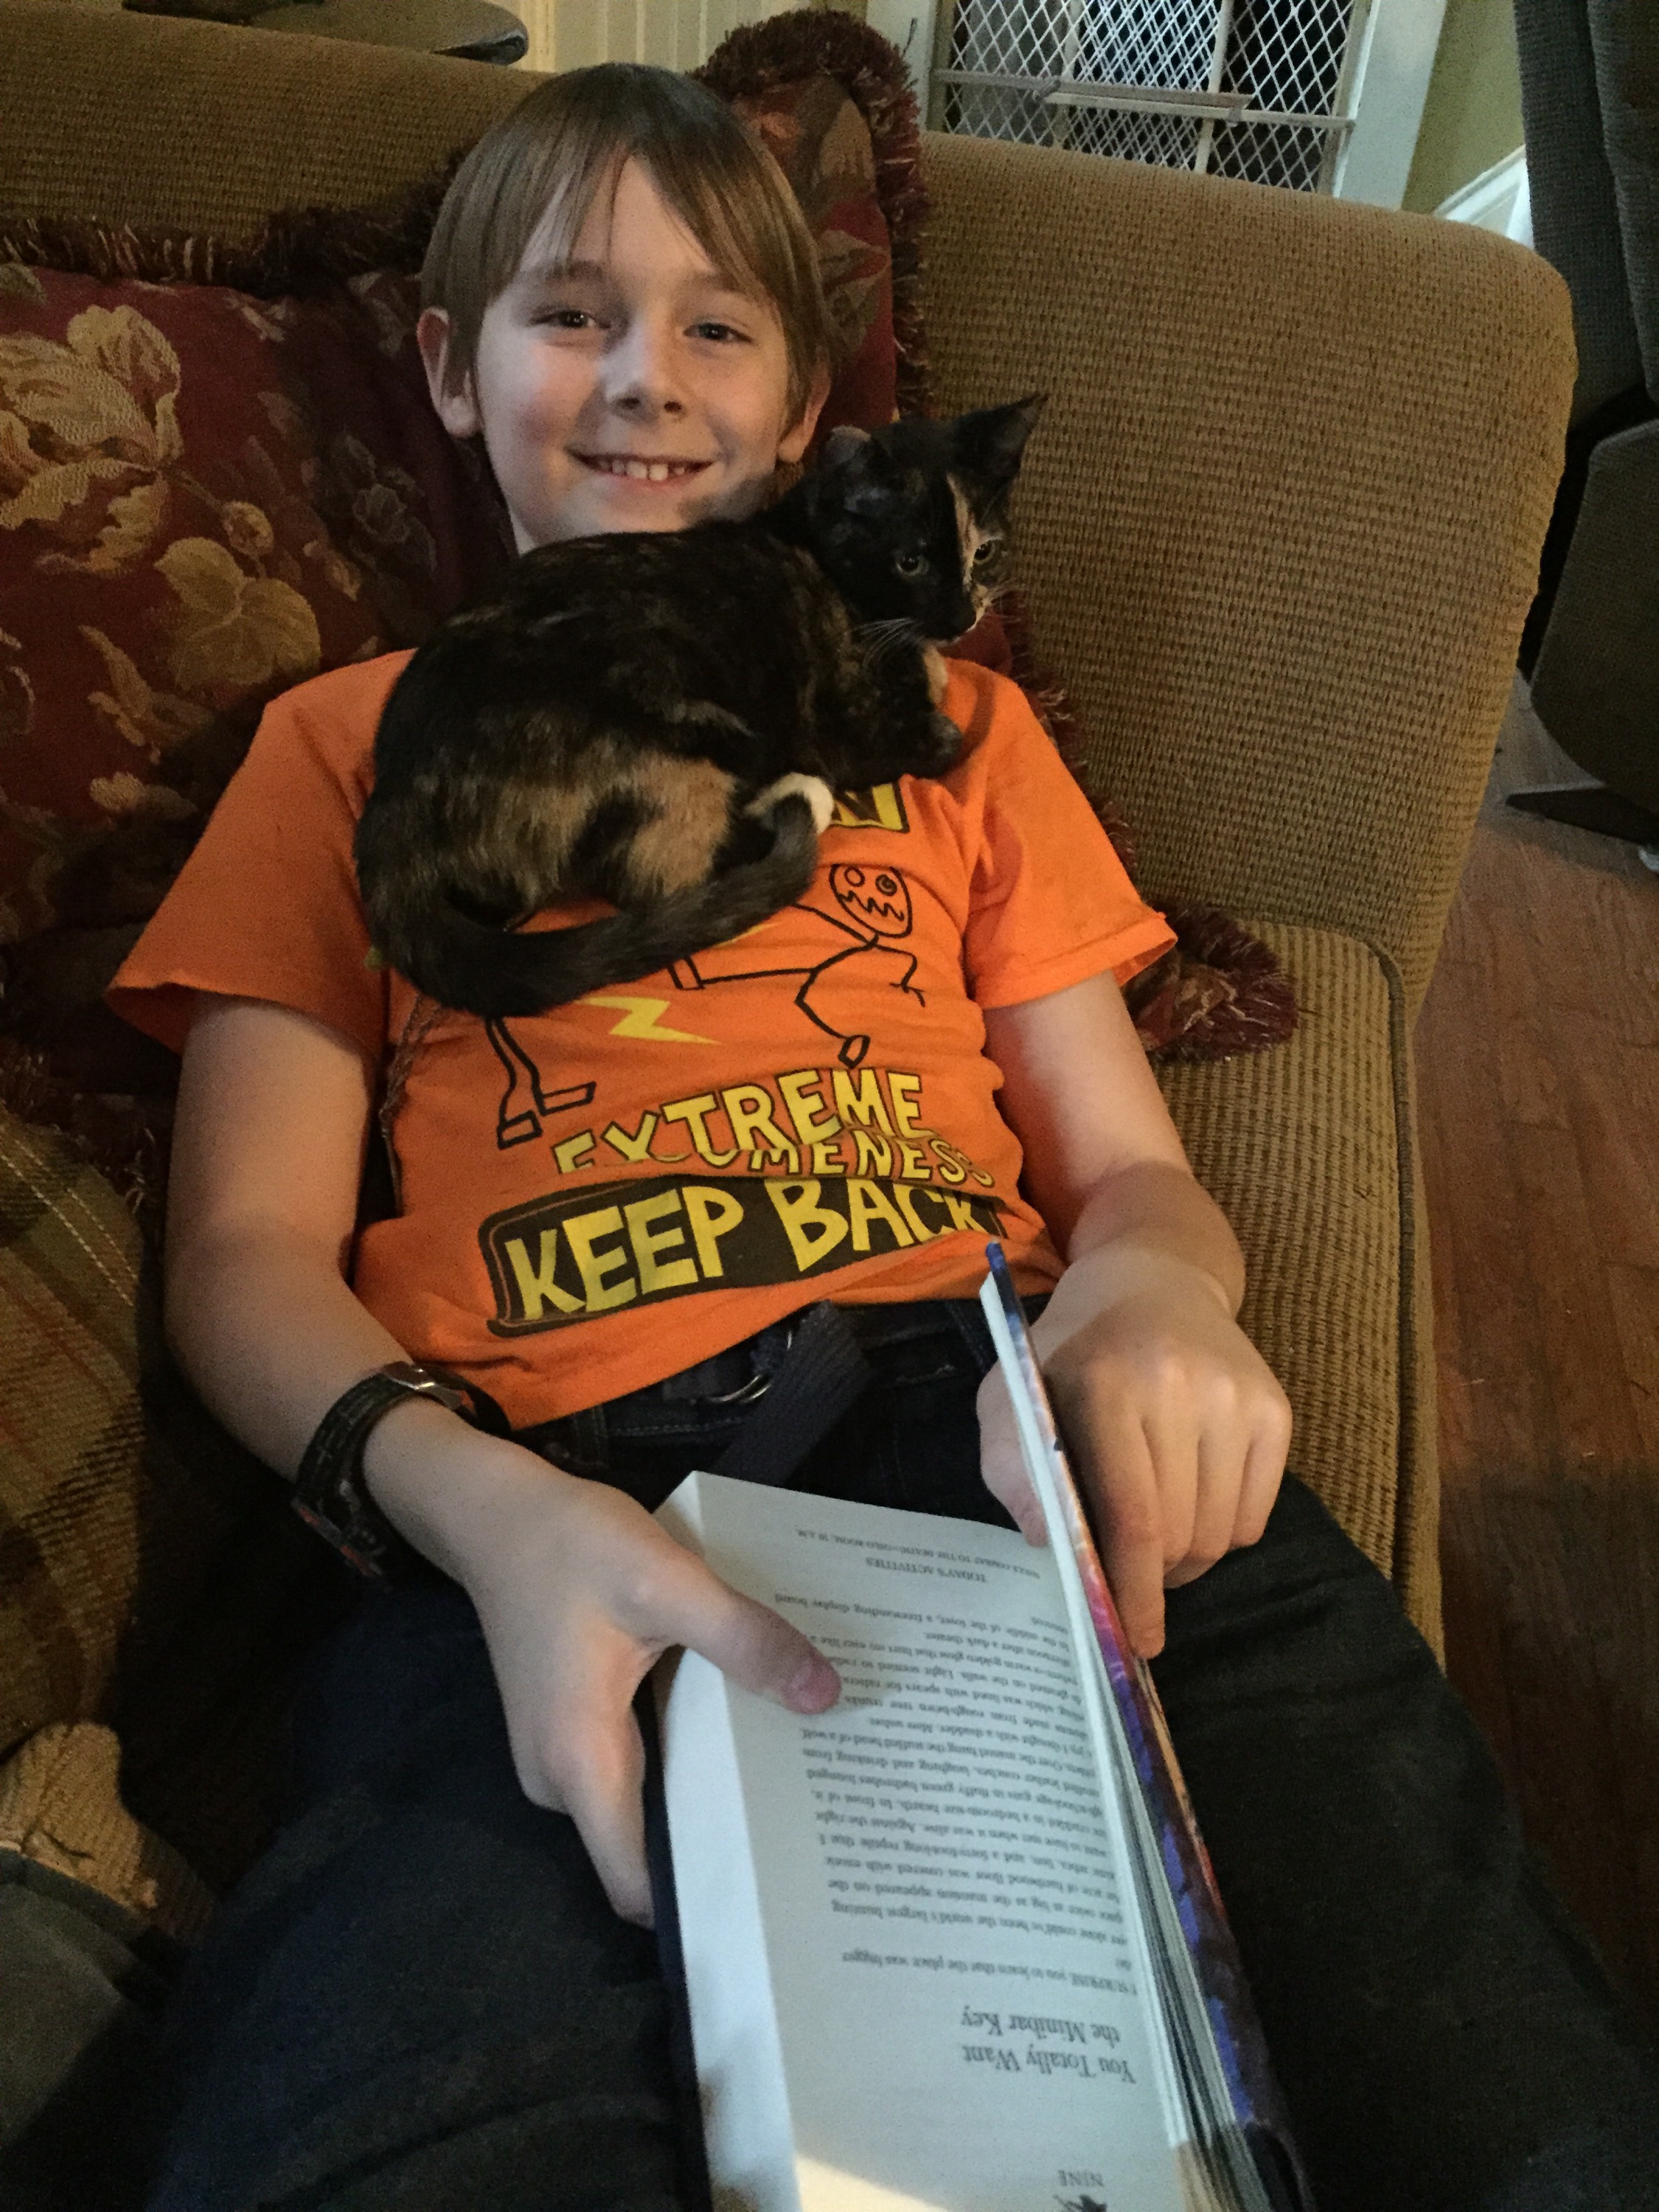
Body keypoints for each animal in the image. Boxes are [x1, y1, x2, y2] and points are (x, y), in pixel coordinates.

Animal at [354, 393, 1044, 1018]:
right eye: (911, 561)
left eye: (984, 552)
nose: (961, 617)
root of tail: (396, 795)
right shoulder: (845, 729)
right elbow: (941, 735)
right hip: (673, 733)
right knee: (655, 873)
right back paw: (791, 801)